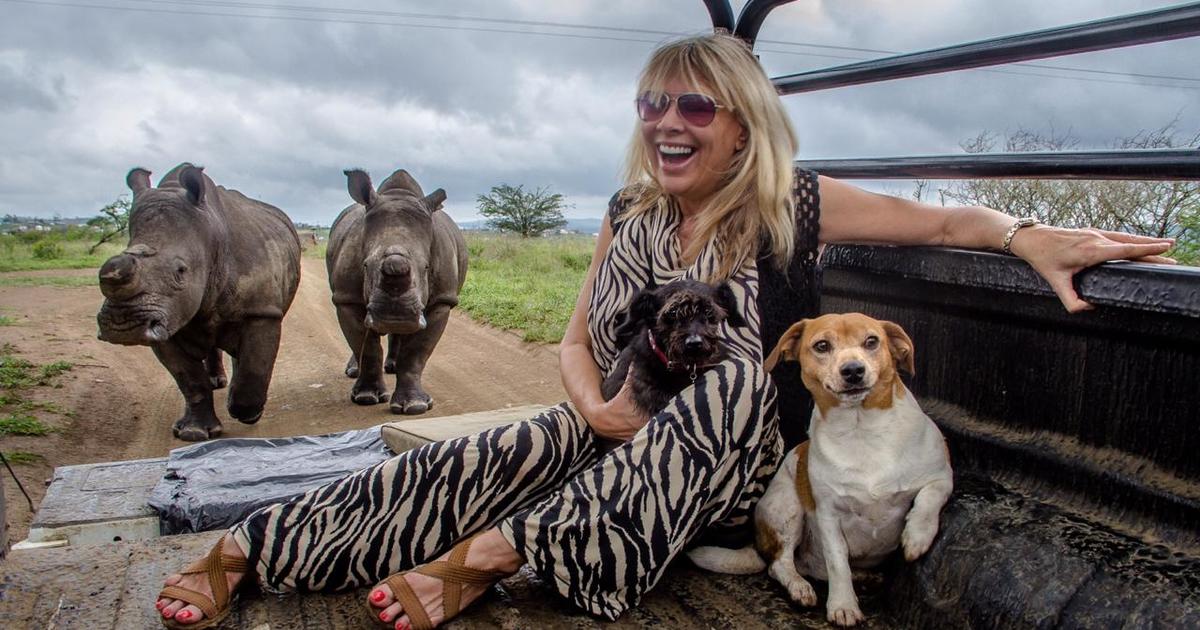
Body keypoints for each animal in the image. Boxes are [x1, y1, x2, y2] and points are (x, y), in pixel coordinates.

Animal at [688, 313, 953, 627]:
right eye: (822, 346)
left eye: (872, 341)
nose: (853, 370)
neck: (861, 430)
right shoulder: (828, 515)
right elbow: (837, 563)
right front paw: (843, 605)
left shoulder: (942, 476)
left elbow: (929, 498)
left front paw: (917, 536)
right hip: (787, 510)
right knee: (781, 564)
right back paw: (800, 587)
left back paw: (863, 576)